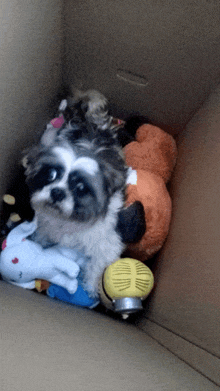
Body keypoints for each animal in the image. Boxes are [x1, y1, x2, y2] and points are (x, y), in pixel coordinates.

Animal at [22, 90, 146, 298]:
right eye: (50, 175)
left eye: (80, 188)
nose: (57, 192)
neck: (69, 221)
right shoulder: (47, 226)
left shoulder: (107, 242)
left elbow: (97, 265)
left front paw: (91, 287)